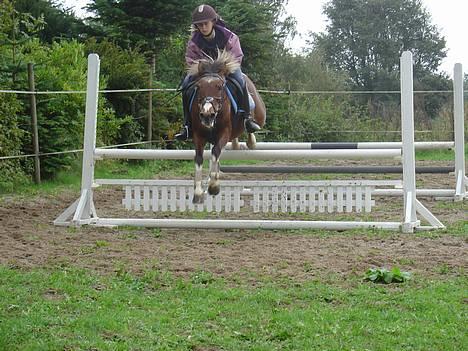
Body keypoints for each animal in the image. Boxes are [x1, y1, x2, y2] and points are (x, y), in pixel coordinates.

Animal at [186, 49, 266, 204]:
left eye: (219, 87)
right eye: (198, 87)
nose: (207, 115)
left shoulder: (224, 133)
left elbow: (215, 151)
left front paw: (213, 186)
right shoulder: (198, 135)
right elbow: (199, 158)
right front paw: (198, 193)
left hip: (260, 115)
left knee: (250, 128)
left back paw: (251, 140)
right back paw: (236, 144)